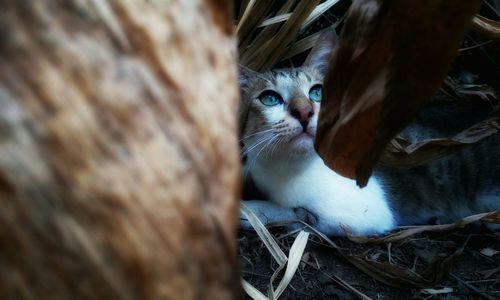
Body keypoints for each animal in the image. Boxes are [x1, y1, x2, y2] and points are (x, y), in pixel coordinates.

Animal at [239, 31, 500, 237]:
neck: (282, 166)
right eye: (269, 99)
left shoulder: (366, 213)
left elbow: (300, 214)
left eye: (317, 92)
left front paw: (252, 209)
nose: (304, 112)